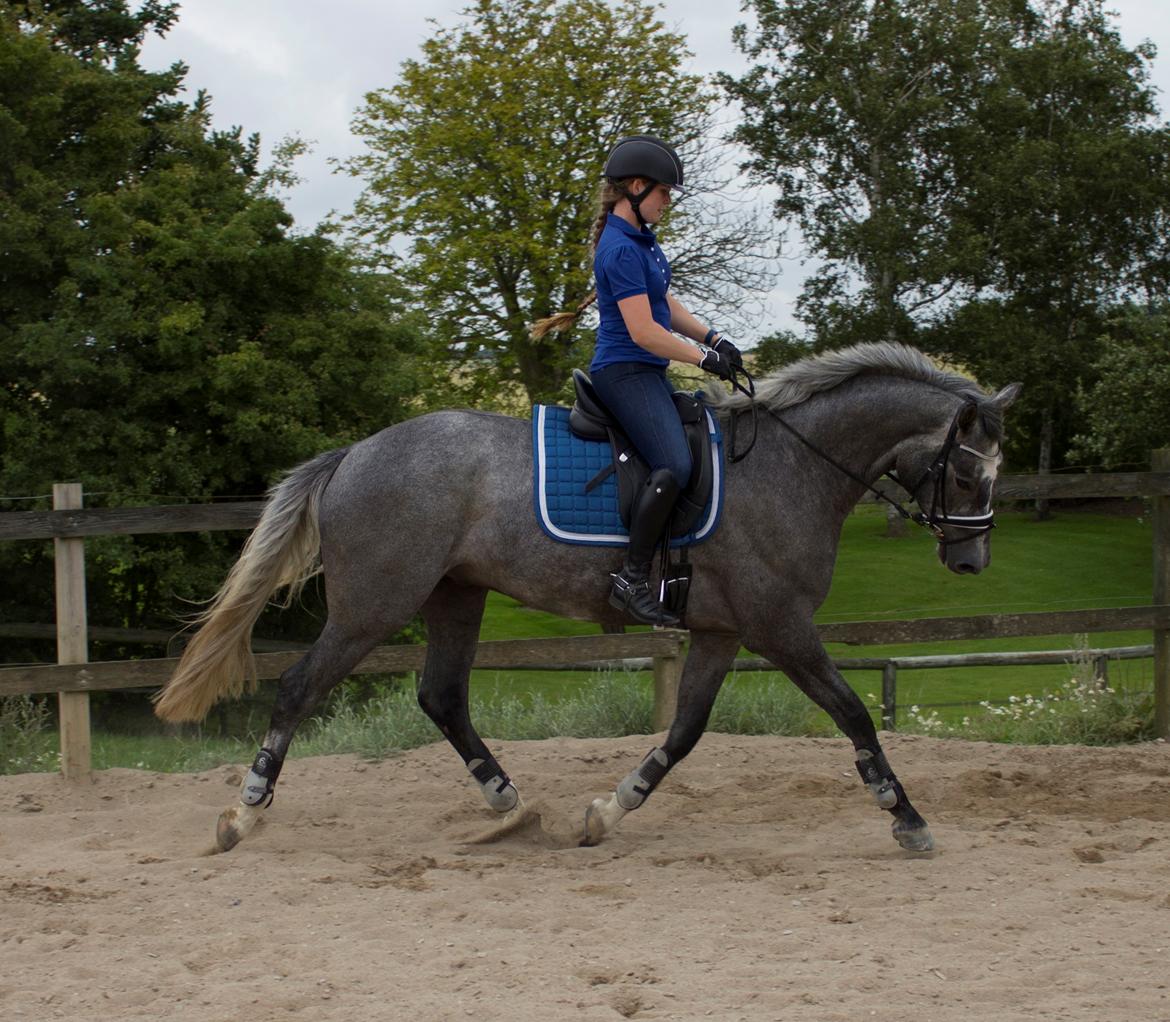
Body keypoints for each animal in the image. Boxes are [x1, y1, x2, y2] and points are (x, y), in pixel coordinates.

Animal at [153, 341, 1015, 851]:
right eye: (972, 476)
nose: (973, 560)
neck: (788, 466)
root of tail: (355, 454)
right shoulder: (780, 625)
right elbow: (853, 712)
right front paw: (906, 817)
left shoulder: (722, 632)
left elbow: (686, 732)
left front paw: (610, 808)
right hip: (375, 605)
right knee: (300, 687)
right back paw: (244, 812)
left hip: (455, 596)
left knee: (441, 697)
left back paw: (508, 803)